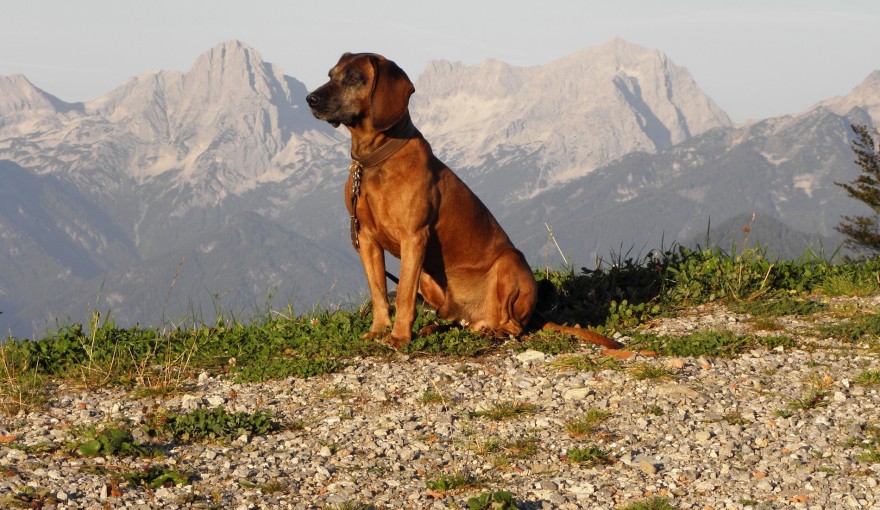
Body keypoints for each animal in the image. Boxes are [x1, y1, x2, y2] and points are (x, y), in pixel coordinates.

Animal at [306, 54, 624, 350]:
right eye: (331, 74)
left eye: (354, 78)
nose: (310, 99)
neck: (375, 161)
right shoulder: (366, 239)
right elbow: (379, 293)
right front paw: (379, 330)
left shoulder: (413, 237)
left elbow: (404, 295)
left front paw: (398, 337)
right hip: (430, 279)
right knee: (455, 320)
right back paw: (434, 328)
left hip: (509, 263)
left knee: (512, 326)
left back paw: (493, 332)